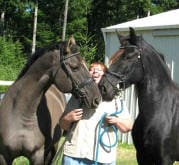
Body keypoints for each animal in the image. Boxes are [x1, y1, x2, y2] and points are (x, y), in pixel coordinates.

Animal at [0, 36, 100, 165]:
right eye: (75, 67)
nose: (97, 98)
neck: (20, 114)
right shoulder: (4, 156)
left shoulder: (37, 155)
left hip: (52, 148)